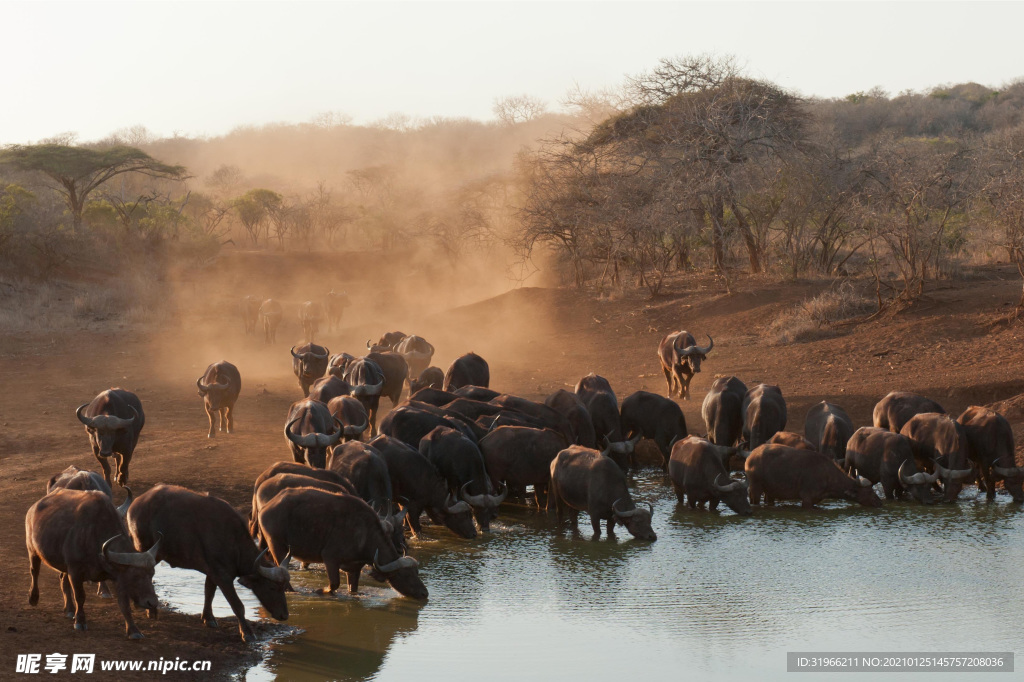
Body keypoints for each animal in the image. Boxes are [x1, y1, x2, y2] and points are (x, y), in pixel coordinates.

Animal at [25, 489, 158, 638]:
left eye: (152, 574)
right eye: (135, 576)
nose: (152, 602)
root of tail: (33, 508)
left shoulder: (117, 577)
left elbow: (124, 604)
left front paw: (134, 630)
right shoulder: (75, 572)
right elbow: (80, 596)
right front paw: (80, 621)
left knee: (62, 579)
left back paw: (69, 609)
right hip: (33, 550)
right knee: (34, 571)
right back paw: (33, 598)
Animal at [128, 483, 290, 638]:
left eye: (284, 588)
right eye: (272, 587)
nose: (284, 615)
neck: (233, 542)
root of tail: (136, 504)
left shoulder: (212, 573)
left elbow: (209, 593)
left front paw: (208, 618)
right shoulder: (223, 577)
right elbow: (238, 605)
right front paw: (247, 633)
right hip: (146, 549)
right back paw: (151, 611)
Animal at [745, 444, 880, 507]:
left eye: (873, 490)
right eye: (869, 491)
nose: (879, 502)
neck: (828, 476)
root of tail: (750, 457)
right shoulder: (807, 499)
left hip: (770, 491)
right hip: (755, 488)